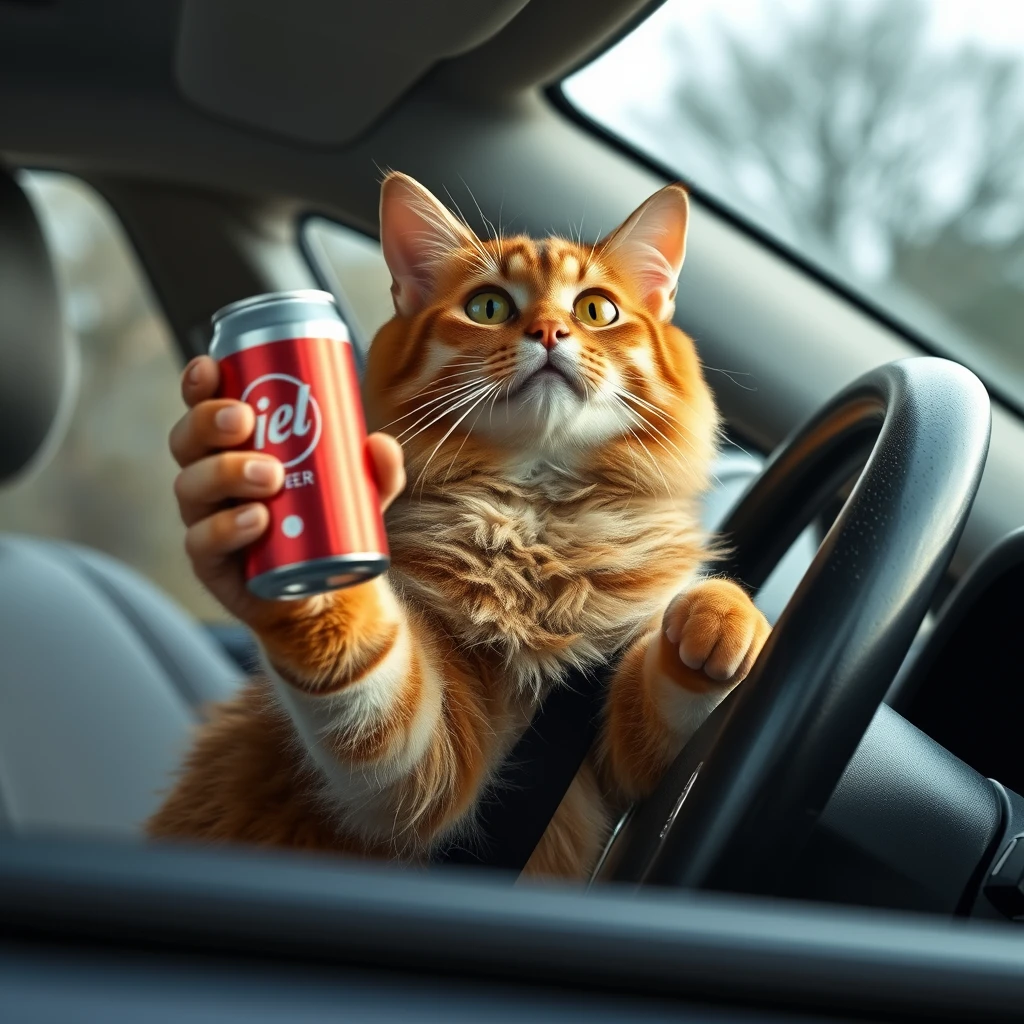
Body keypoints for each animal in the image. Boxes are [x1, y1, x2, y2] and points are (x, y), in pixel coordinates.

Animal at [151, 172, 770, 876]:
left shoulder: (616, 759)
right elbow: (373, 683)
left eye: (595, 311)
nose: (550, 331)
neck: (537, 520)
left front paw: (722, 615)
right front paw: (312, 580)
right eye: (490, 307)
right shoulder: (426, 773)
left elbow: (666, 697)